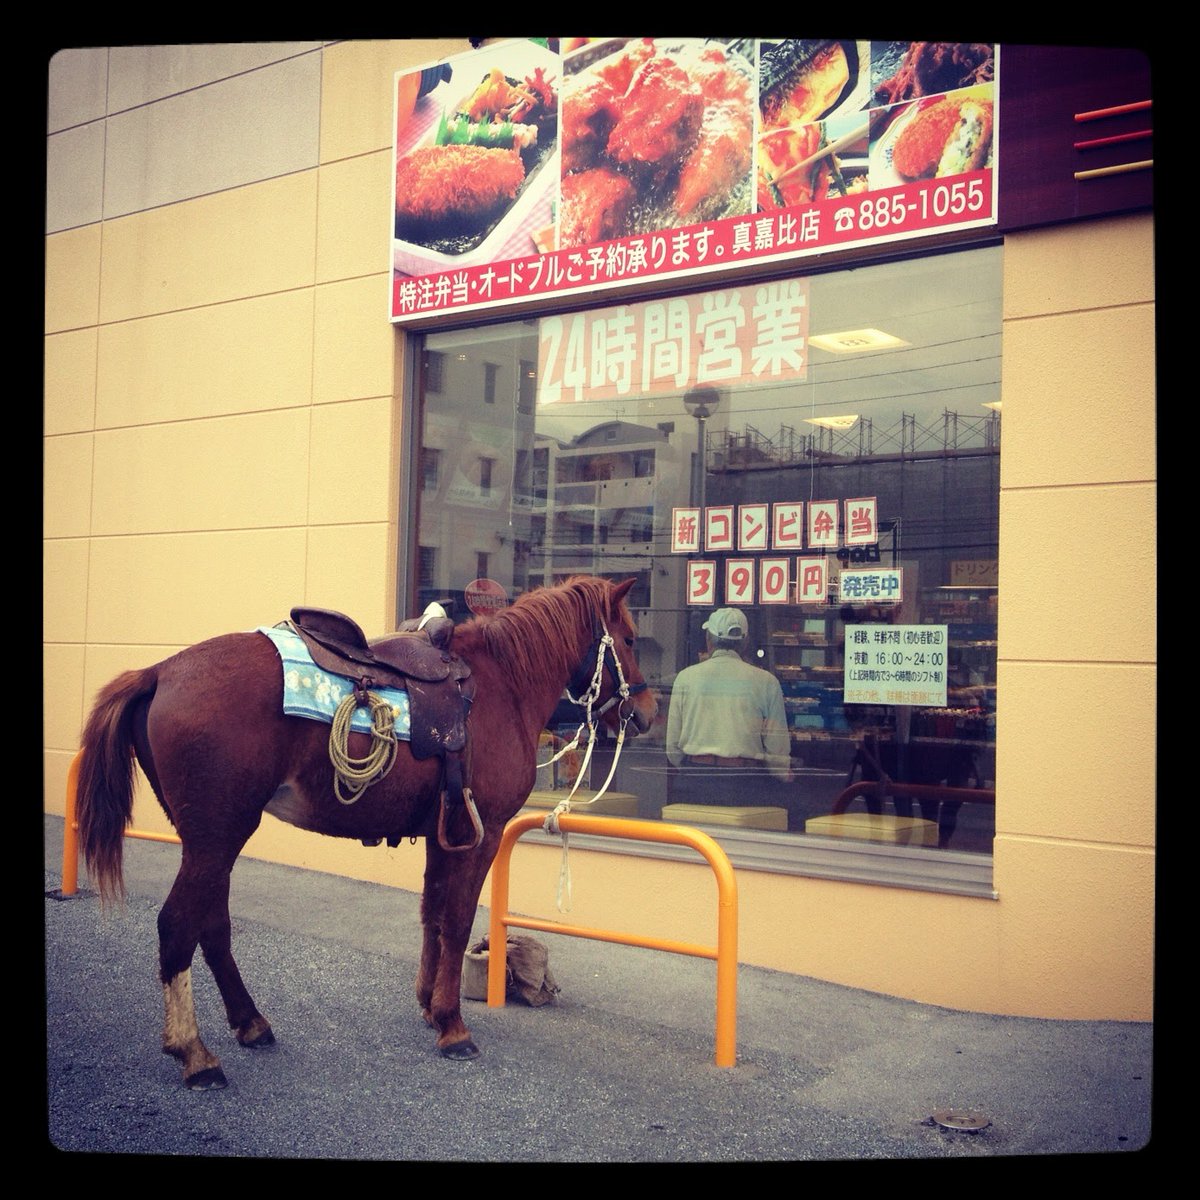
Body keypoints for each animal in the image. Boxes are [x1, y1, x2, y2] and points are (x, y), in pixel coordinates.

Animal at [74, 575, 657, 1088]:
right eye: (629, 638)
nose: (648, 712)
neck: (501, 686)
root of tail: (160, 670)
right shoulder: (483, 832)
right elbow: (458, 919)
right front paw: (453, 1027)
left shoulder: (444, 832)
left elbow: (433, 914)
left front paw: (430, 1006)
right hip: (217, 836)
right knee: (178, 925)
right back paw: (195, 1053)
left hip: (209, 839)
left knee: (211, 924)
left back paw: (250, 1022)